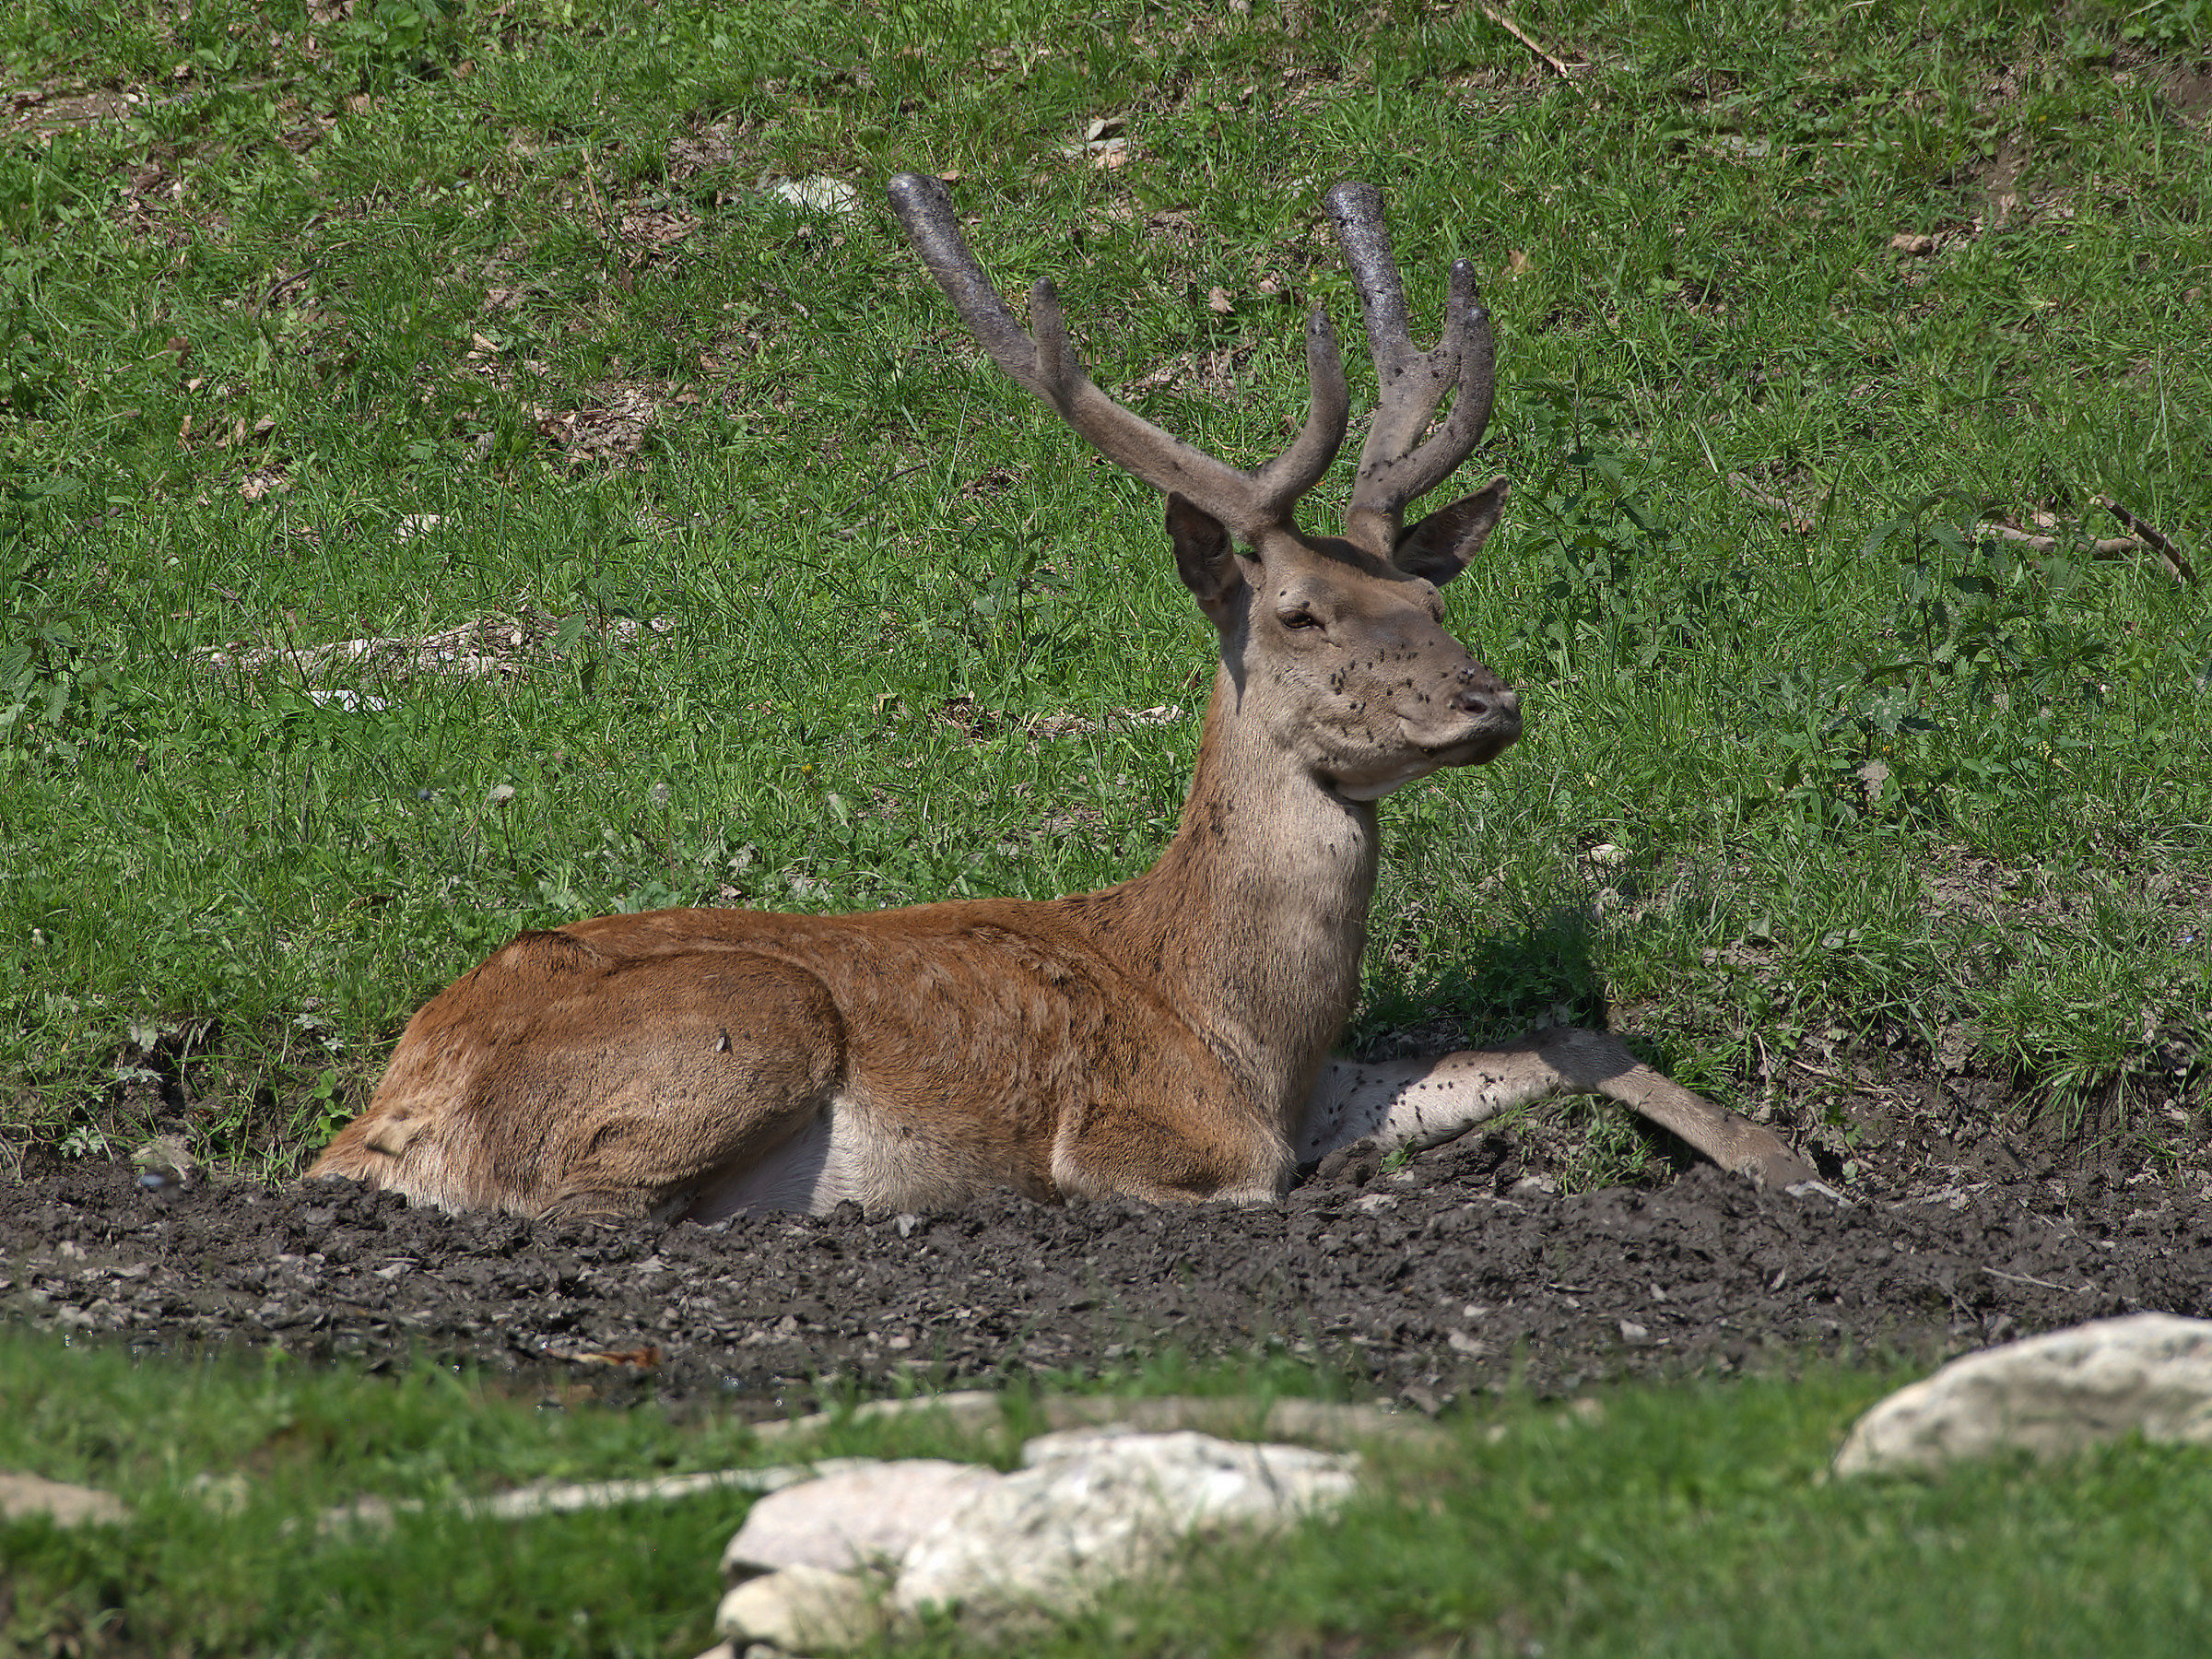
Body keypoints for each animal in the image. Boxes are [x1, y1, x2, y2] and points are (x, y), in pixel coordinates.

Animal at [308, 176, 1815, 1222]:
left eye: (1434, 603)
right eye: (1301, 612)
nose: (1486, 701)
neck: (1235, 1021)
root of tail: (386, 1109)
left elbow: (1548, 1035)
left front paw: (1783, 1154)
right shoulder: (1137, 1135)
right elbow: (1261, 1178)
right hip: (749, 1022)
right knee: (588, 1200)